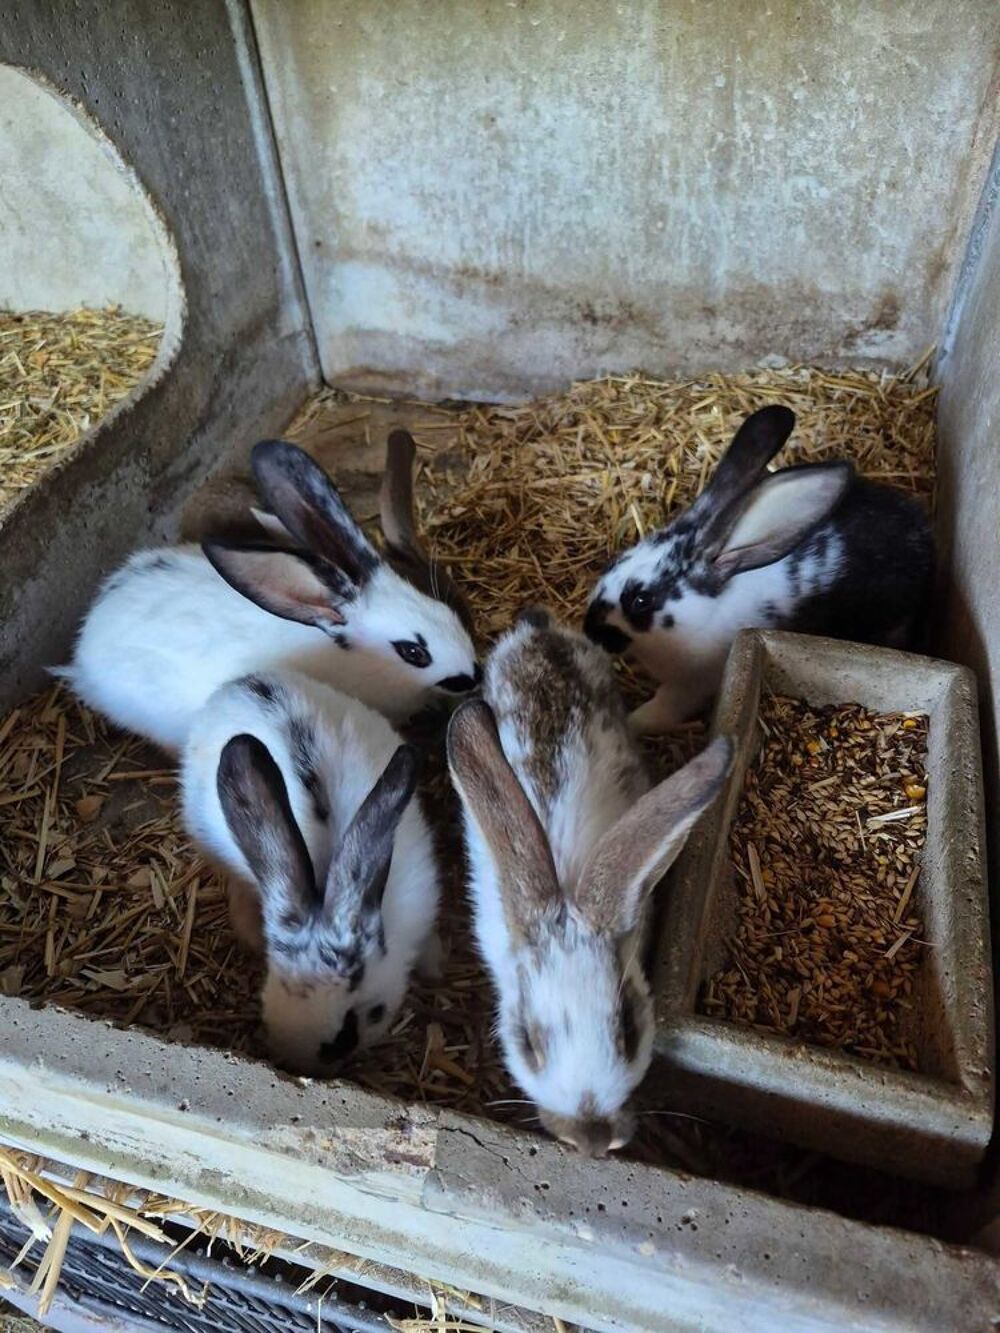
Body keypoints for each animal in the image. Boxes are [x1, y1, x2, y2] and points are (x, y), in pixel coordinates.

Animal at [584, 404, 935, 735]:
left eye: (640, 600)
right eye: (612, 563)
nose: (589, 630)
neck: (705, 611)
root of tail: (923, 537)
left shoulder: (692, 684)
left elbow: (664, 707)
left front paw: (634, 722)